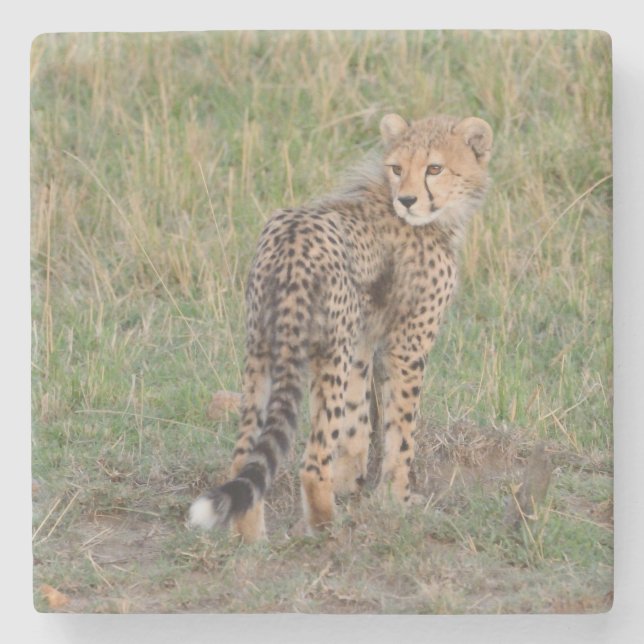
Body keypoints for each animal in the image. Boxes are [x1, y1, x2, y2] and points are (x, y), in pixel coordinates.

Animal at [189, 112, 493, 542]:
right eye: (397, 168)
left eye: (434, 168)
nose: (407, 200)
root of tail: (289, 240)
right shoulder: (407, 345)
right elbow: (401, 430)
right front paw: (396, 499)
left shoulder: (361, 340)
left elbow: (356, 419)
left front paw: (351, 481)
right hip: (327, 354)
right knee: (312, 460)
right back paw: (325, 529)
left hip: (261, 349)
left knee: (243, 457)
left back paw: (250, 540)